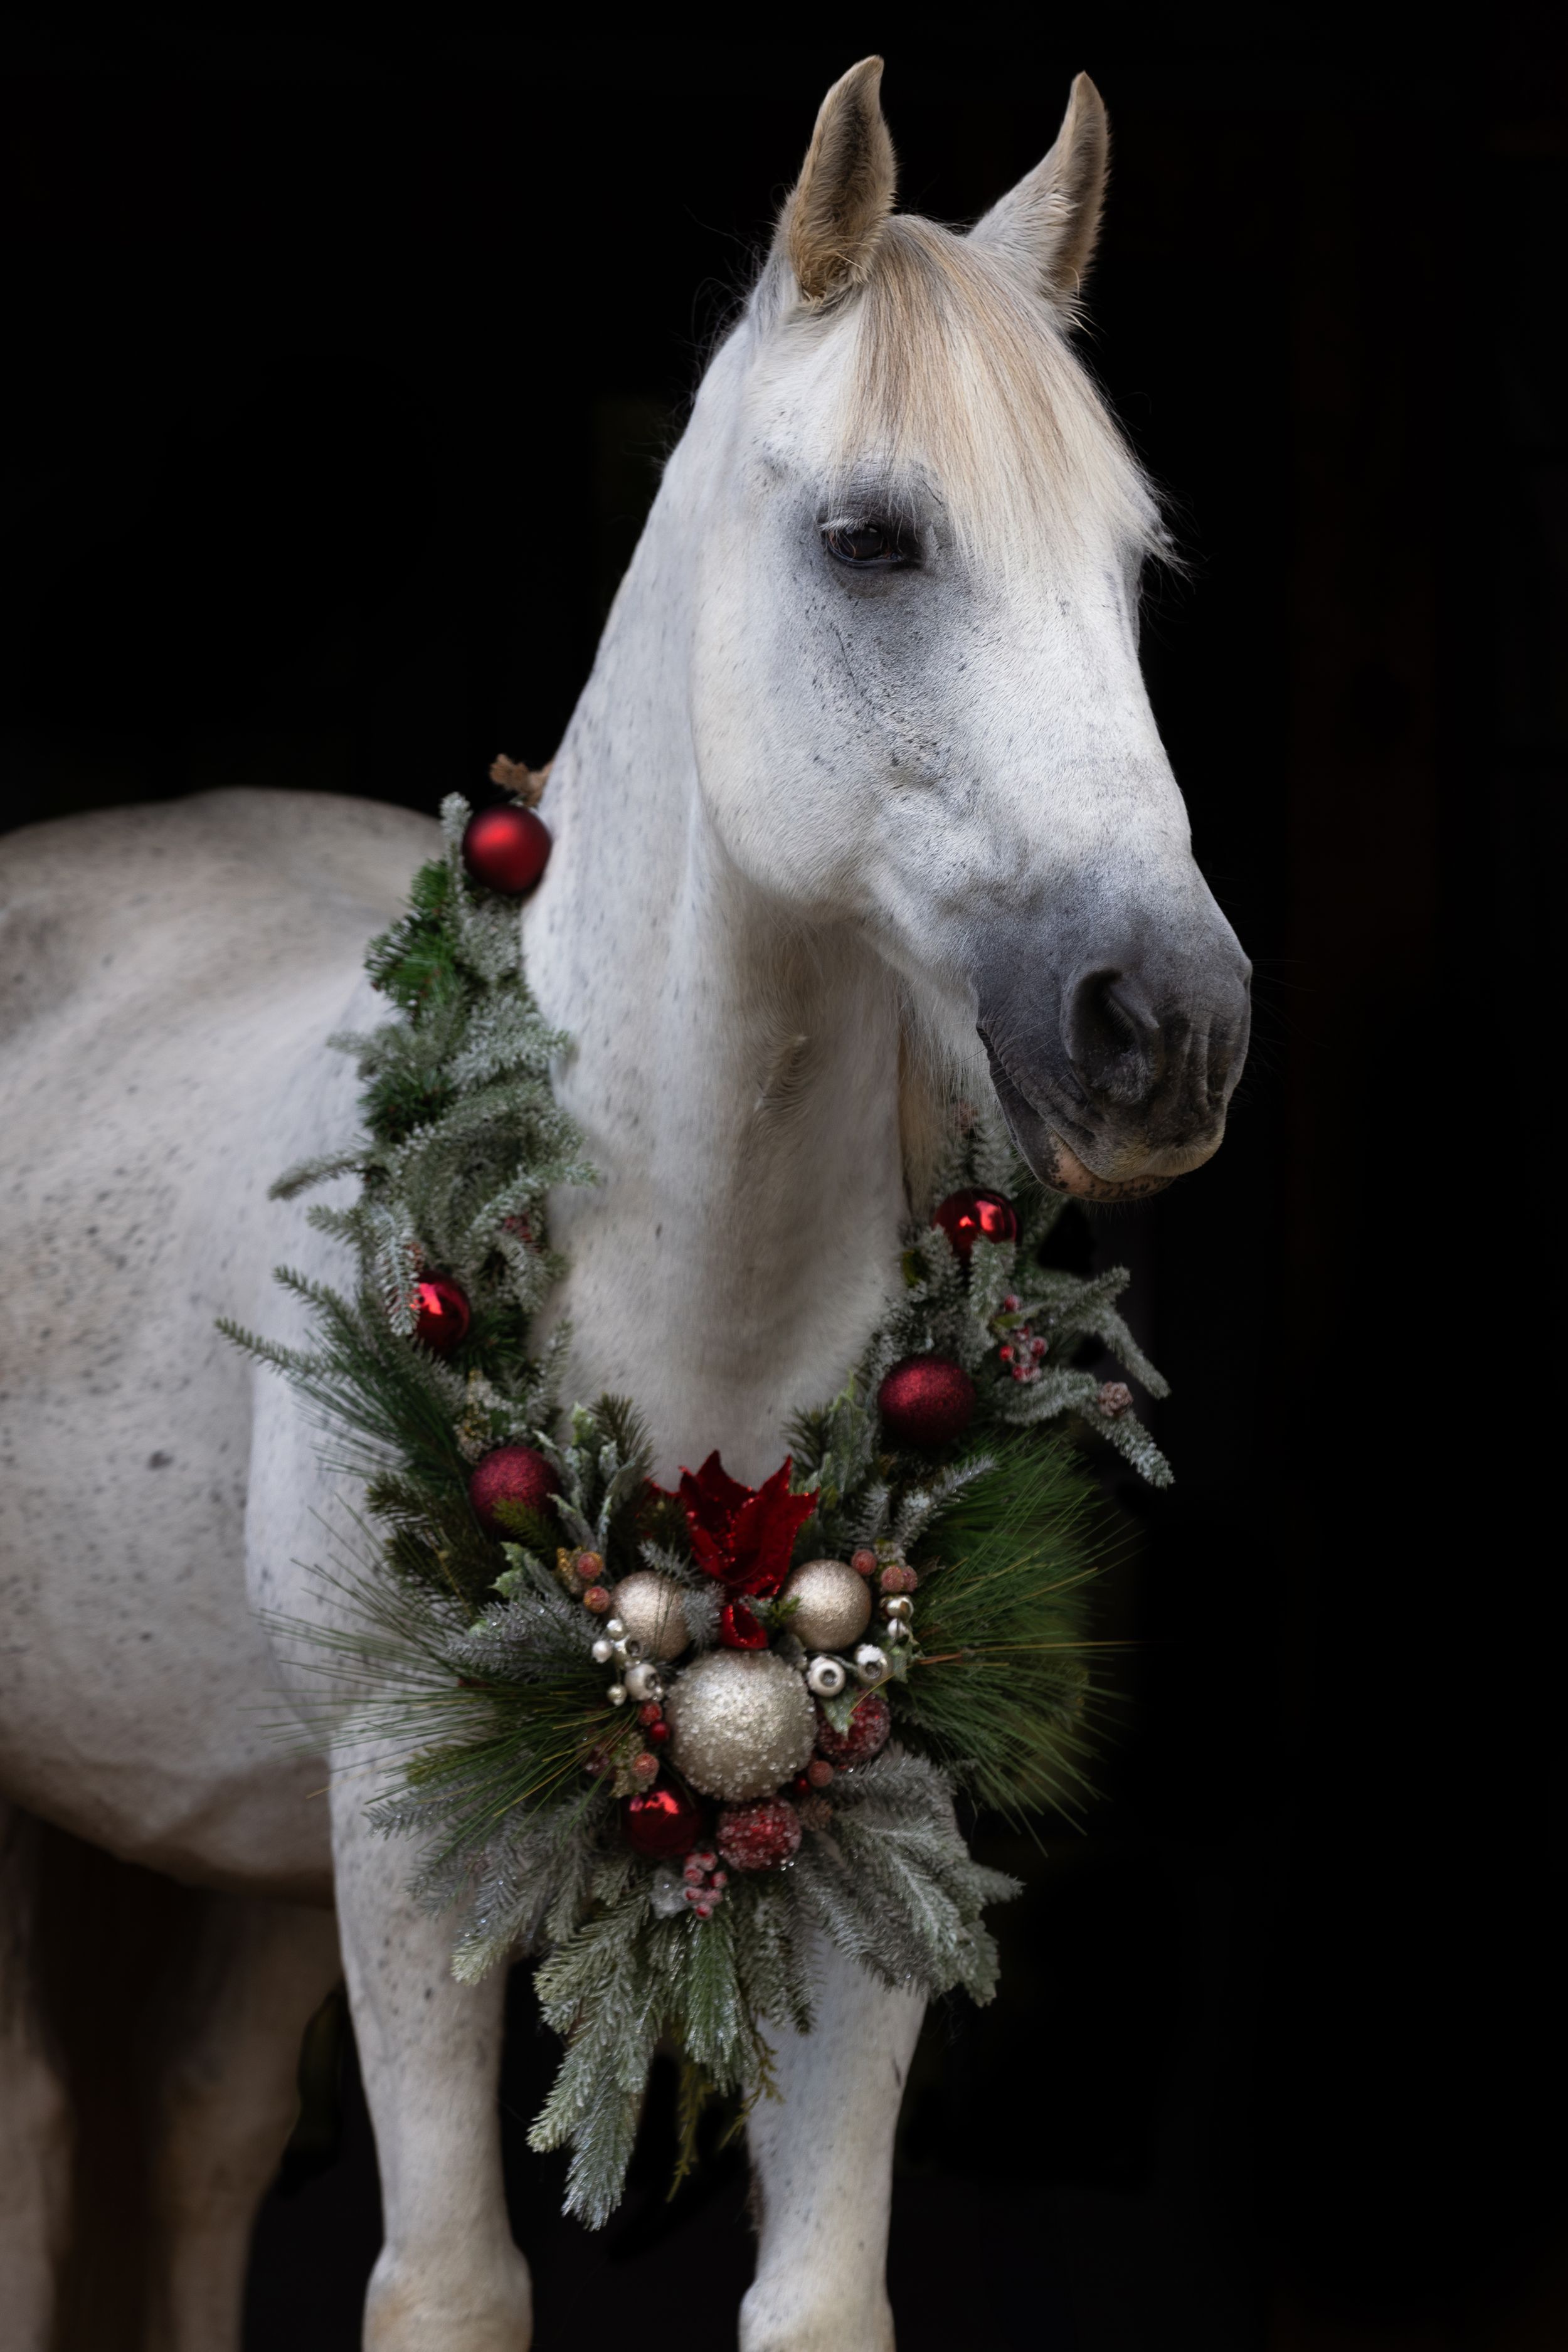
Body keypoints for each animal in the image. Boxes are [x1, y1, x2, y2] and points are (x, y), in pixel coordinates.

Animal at [0, 59, 1250, 2351]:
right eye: (870, 538)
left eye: (1133, 569)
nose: (1170, 1026)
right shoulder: (406, 1833)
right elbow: (449, 2284)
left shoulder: (880, 1841)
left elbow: (818, 2299)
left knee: (187, 2148)